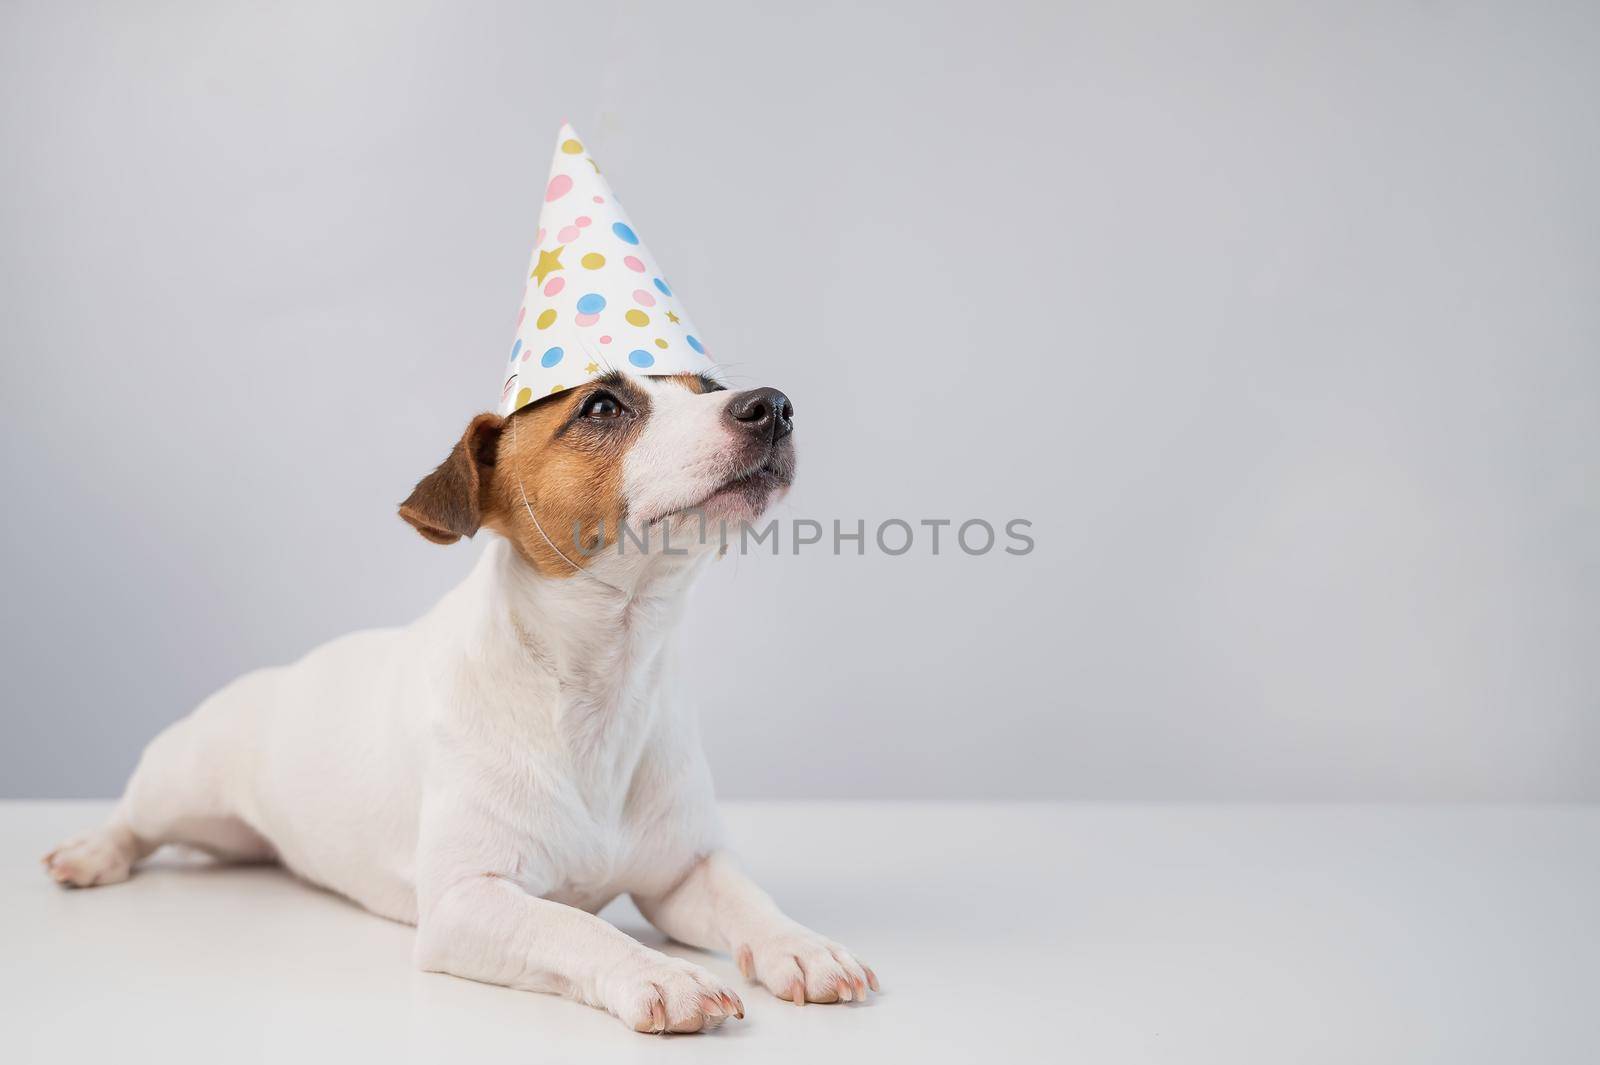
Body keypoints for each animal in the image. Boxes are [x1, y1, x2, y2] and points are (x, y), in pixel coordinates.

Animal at [46, 372, 876, 1029]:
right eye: (603, 406)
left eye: (709, 386)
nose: (772, 405)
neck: (598, 683)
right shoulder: (465, 903)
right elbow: (580, 929)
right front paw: (659, 971)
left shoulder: (683, 873)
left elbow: (745, 898)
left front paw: (800, 944)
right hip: (181, 782)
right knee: (135, 817)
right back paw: (91, 850)